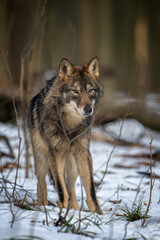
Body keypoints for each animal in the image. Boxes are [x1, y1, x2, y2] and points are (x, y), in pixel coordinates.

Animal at [28, 57, 104, 215]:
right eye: (75, 91)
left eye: (90, 90)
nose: (88, 109)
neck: (70, 125)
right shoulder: (55, 153)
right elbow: (61, 190)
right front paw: (61, 210)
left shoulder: (83, 152)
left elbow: (91, 191)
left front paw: (98, 214)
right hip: (42, 161)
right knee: (42, 184)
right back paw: (42, 207)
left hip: (73, 167)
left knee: (71, 189)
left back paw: (74, 211)